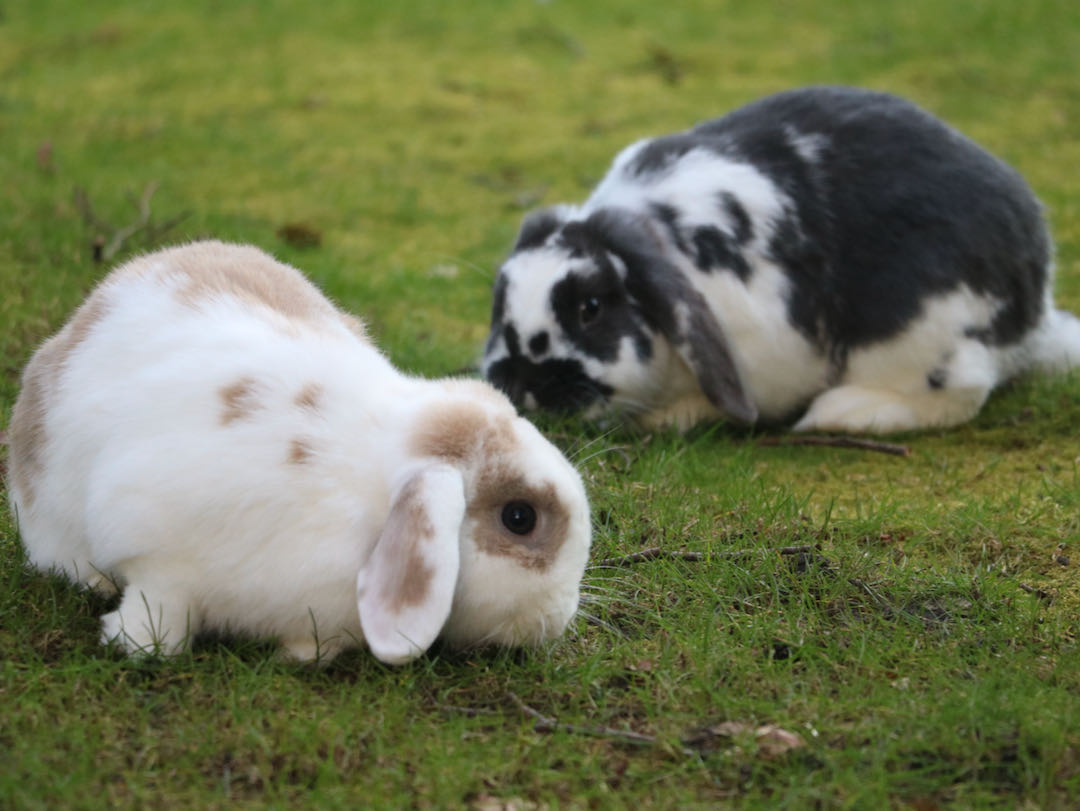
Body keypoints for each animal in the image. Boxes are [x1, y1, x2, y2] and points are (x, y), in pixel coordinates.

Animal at [6, 240, 591, 665]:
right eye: (520, 518)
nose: (560, 617)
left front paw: (303, 654)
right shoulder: (154, 552)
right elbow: (160, 613)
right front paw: (134, 643)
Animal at [482, 85, 1080, 434]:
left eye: (590, 309)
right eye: (500, 298)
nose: (525, 383)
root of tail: (1035, 303)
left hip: (925, 330)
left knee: (961, 391)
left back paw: (844, 413)